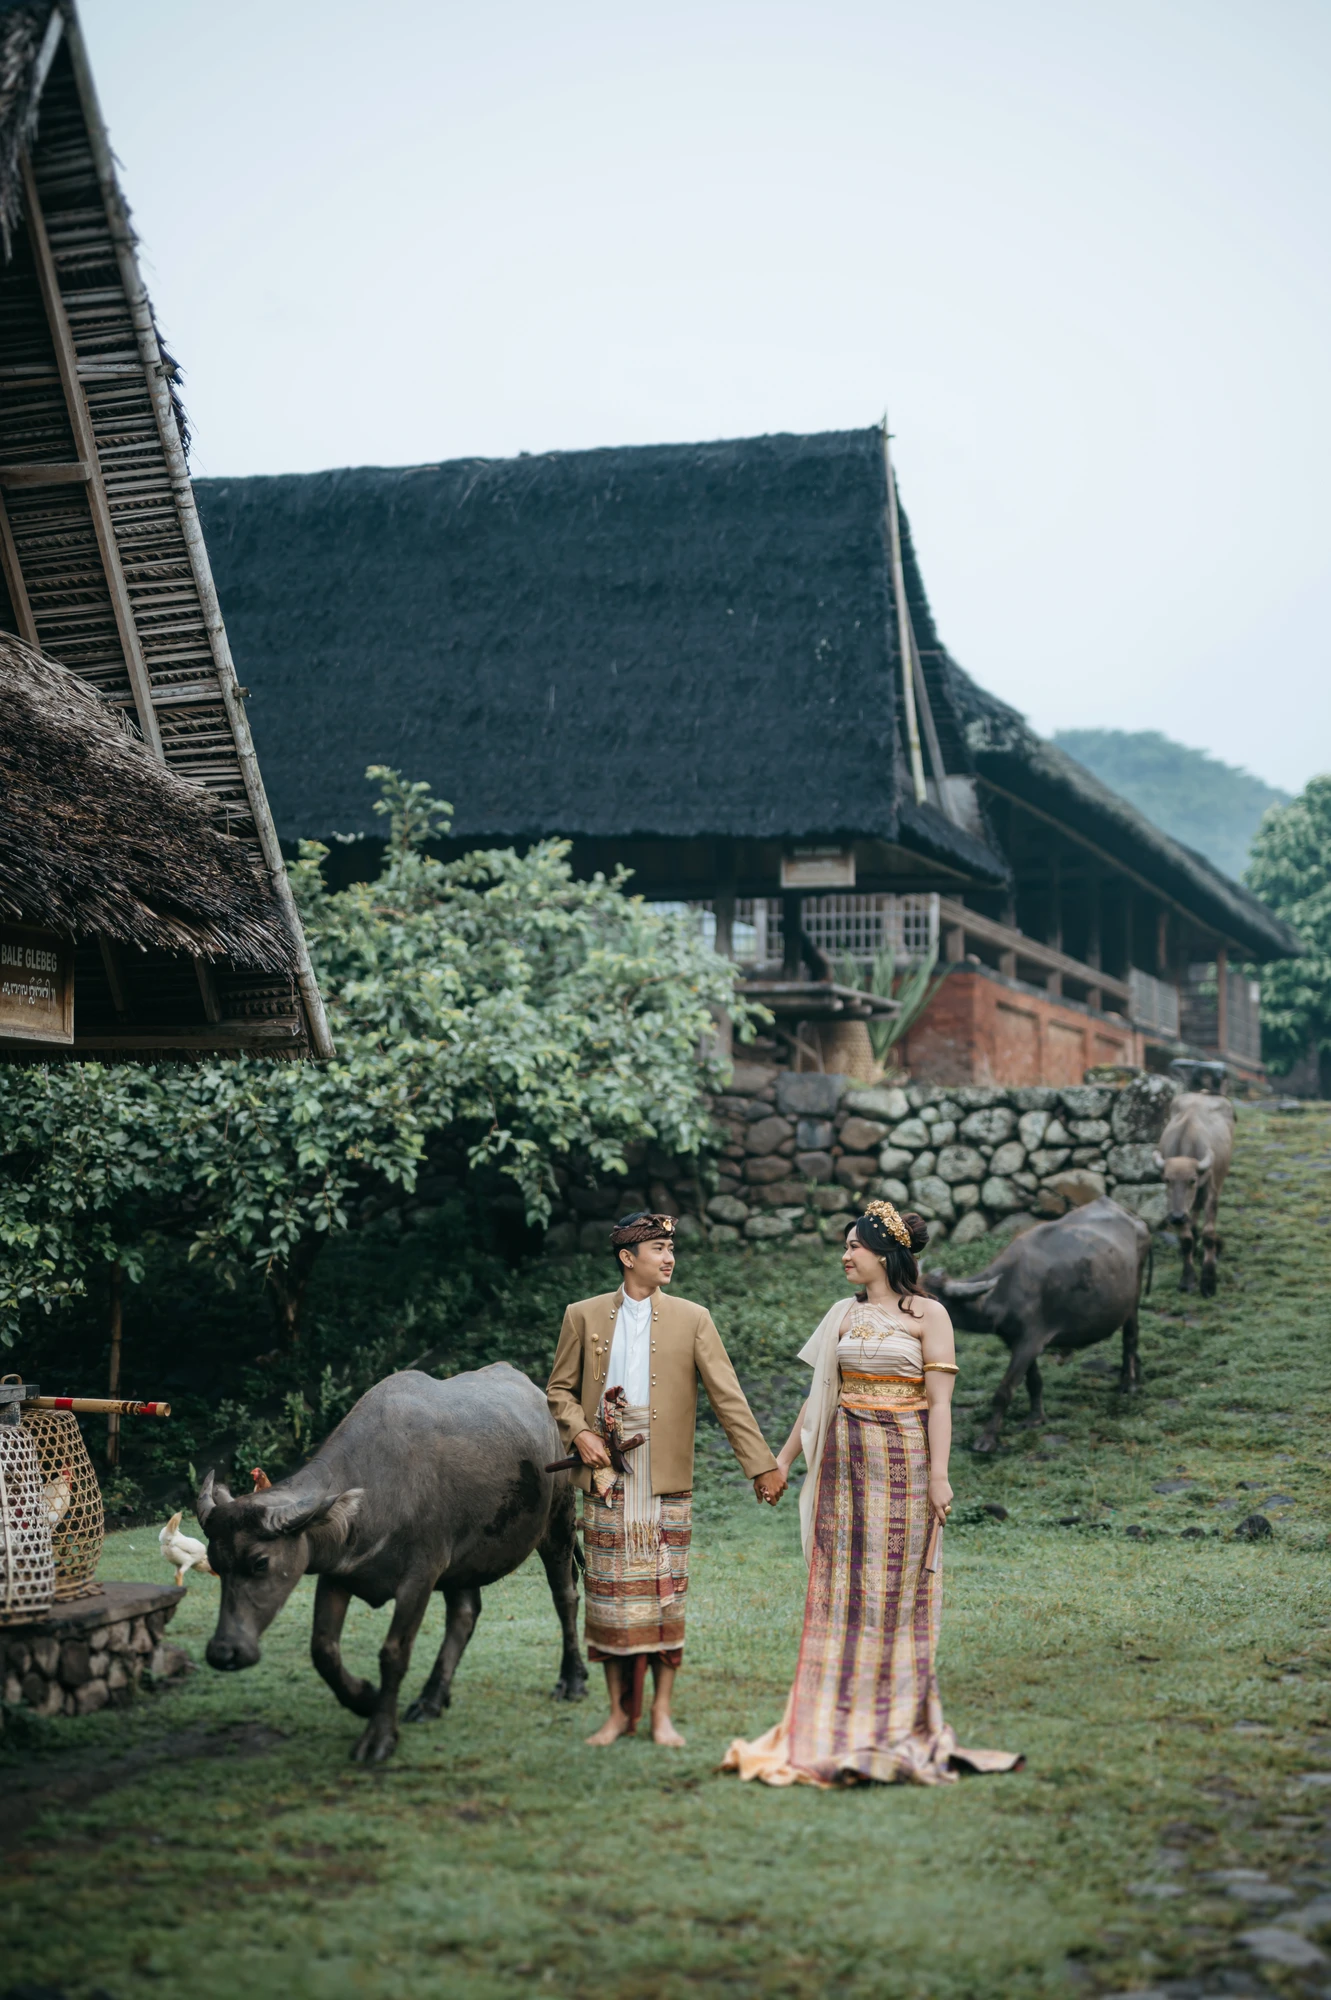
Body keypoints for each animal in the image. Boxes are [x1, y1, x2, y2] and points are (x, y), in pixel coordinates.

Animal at [196, 1364, 587, 1765]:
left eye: (260, 1563)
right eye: (215, 1563)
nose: (224, 1652)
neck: (379, 1489)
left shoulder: (421, 1576)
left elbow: (393, 1653)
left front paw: (379, 1735)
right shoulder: (337, 1574)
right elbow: (323, 1650)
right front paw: (365, 1698)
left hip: (559, 1522)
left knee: (565, 1597)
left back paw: (572, 1680)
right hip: (463, 1561)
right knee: (464, 1614)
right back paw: (431, 1699)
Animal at [926, 1197, 1152, 1453]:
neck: (1005, 1290)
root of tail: (1137, 1221)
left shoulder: (1030, 1342)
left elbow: (1004, 1390)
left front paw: (987, 1439)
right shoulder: (1015, 1341)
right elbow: (1033, 1381)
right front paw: (1036, 1418)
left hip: (1132, 1303)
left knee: (1130, 1338)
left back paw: (1129, 1384)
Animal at [1153, 1090, 1236, 1296]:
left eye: (1192, 1180)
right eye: (1167, 1180)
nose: (1176, 1217)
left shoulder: (1210, 1192)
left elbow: (1208, 1234)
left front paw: (1208, 1281)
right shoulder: (1175, 1205)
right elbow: (1186, 1240)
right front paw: (1187, 1280)